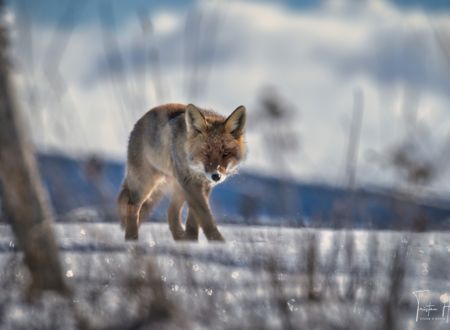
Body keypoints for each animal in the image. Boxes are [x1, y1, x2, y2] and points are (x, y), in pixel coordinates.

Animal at [117, 104, 246, 242]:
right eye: (206, 152)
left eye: (225, 153)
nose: (216, 176)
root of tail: (139, 122)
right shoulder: (190, 182)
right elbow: (204, 215)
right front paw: (218, 242)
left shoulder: (204, 185)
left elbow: (195, 216)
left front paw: (192, 239)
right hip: (145, 185)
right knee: (132, 206)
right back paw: (132, 239)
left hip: (177, 188)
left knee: (171, 211)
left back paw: (179, 237)